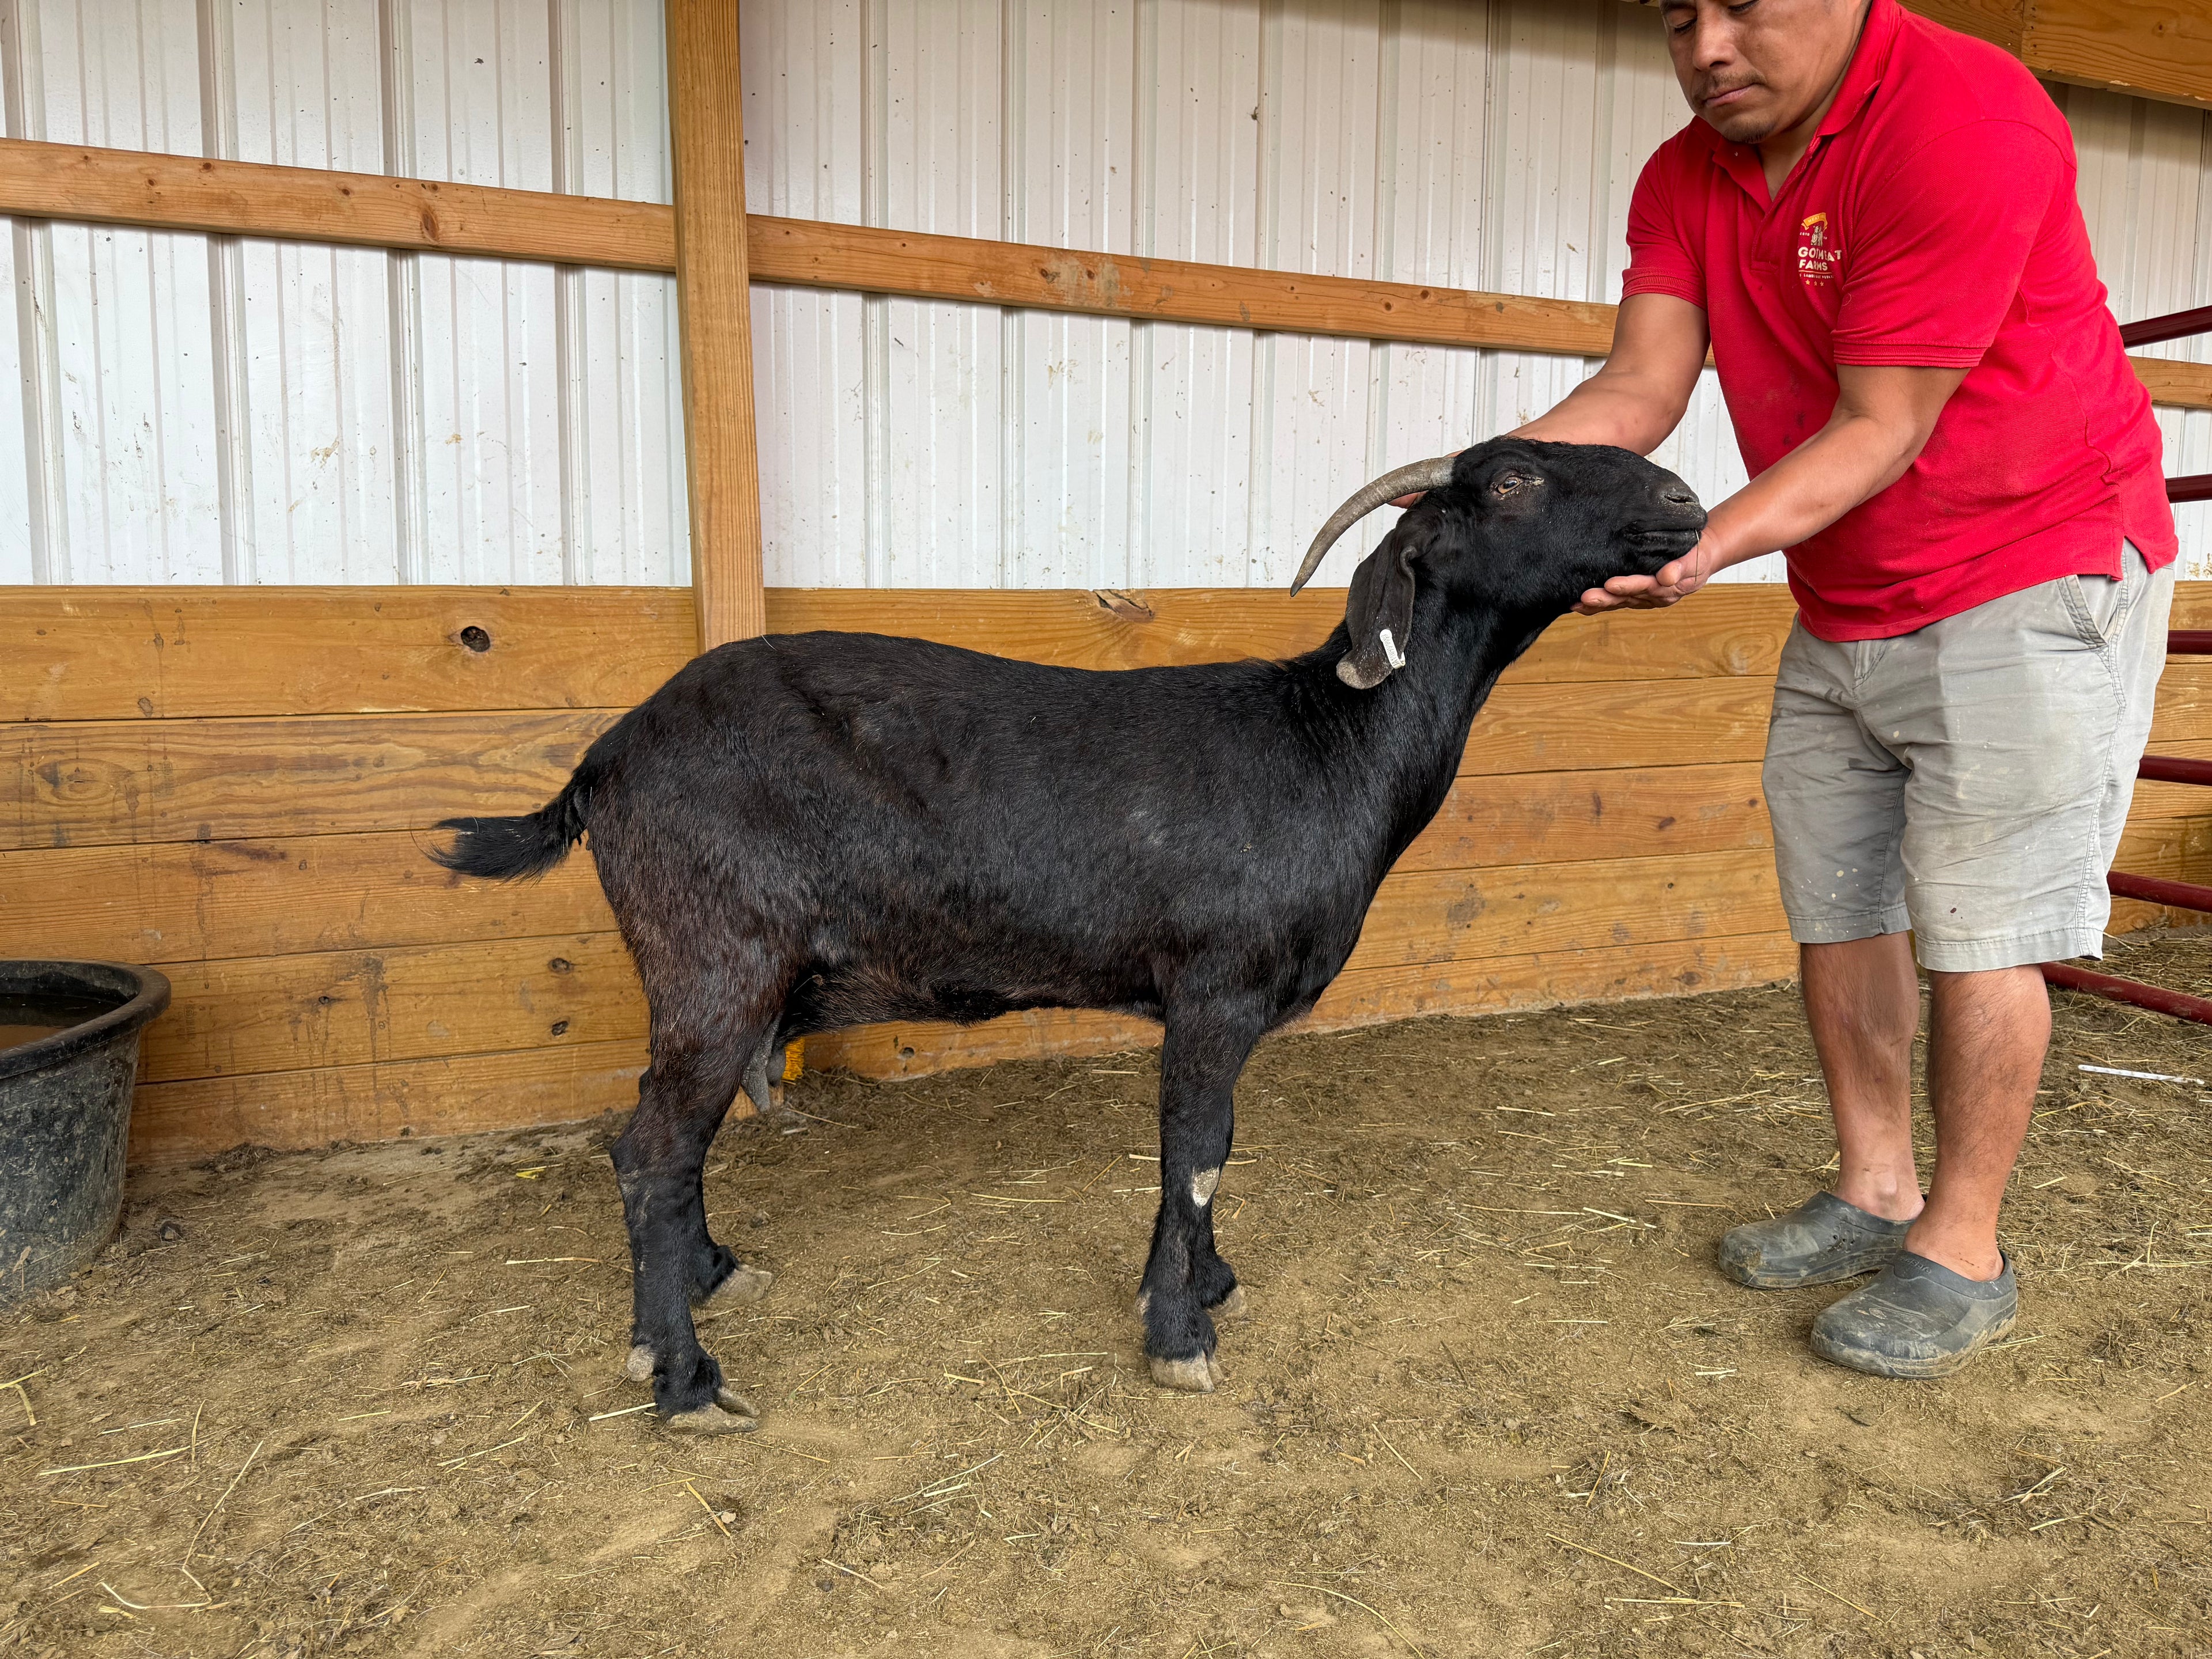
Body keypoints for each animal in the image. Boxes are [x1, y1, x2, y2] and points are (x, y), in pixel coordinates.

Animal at [433, 438, 1705, 1431]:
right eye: (1514, 479)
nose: (1686, 499)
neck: (1329, 744)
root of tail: (605, 758)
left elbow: (1200, 1157)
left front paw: (1188, 1289)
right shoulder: (1216, 989)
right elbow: (1197, 1151)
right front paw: (1183, 1336)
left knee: (670, 1142)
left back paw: (703, 1283)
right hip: (713, 956)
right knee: (650, 1151)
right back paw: (686, 1380)